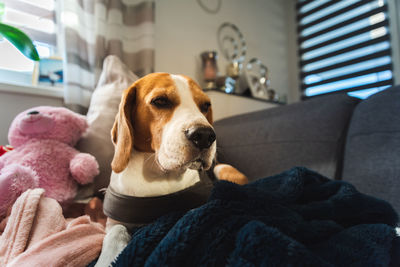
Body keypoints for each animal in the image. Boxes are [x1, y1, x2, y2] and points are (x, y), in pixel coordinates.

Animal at [96, 73, 247, 267]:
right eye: (160, 101)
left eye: (205, 106)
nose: (205, 135)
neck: (158, 174)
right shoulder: (114, 221)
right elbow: (116, 232)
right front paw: (107, 258)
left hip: (221, 167)